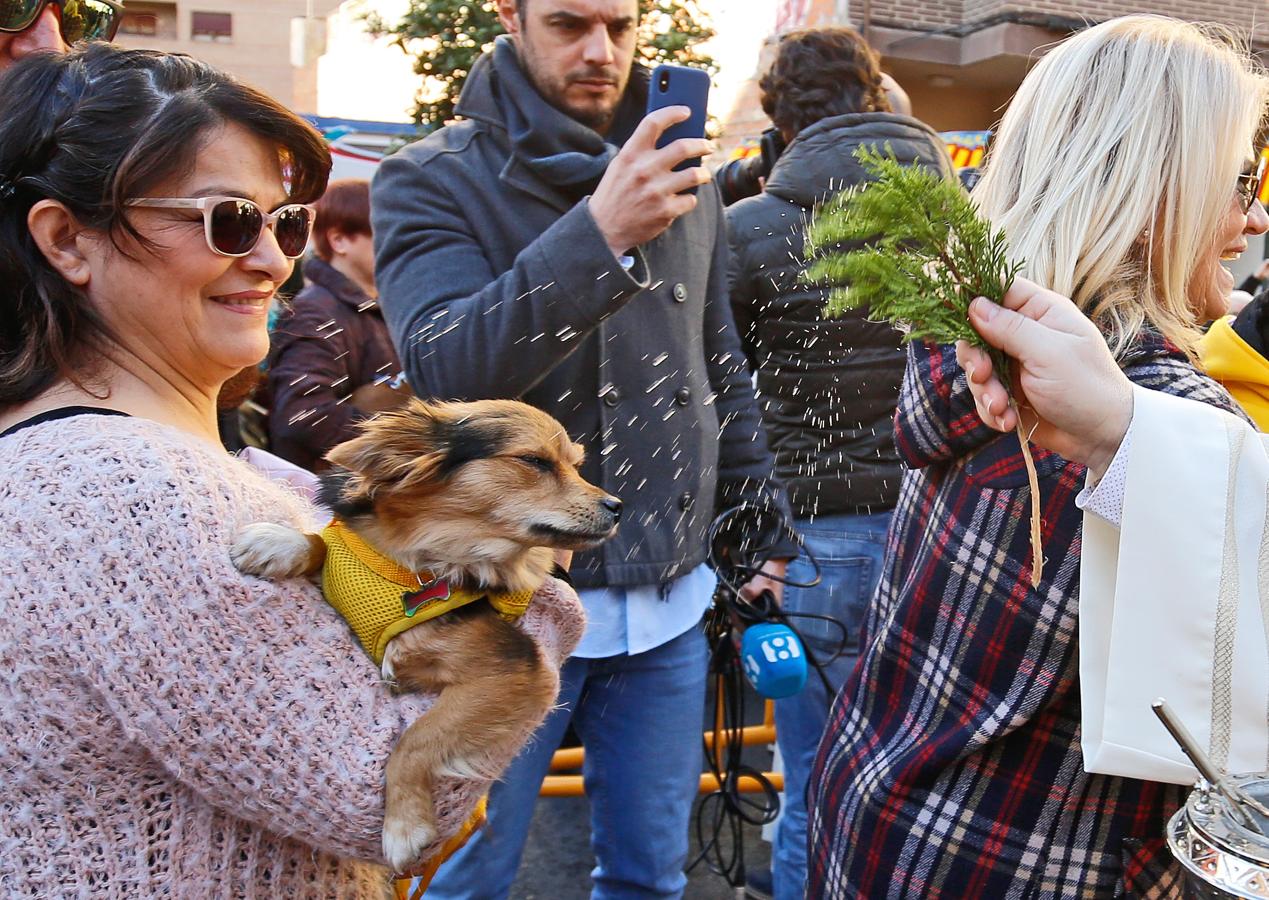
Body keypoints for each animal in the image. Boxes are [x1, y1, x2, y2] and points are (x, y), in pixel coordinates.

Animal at [234, 398, 624, 868]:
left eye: (575, 466)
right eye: (535, 461)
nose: (618, 506)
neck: (420, 564)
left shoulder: (517, 671)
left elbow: (414, 739)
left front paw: (404, 826)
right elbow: (325, 546)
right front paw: (280, 542)